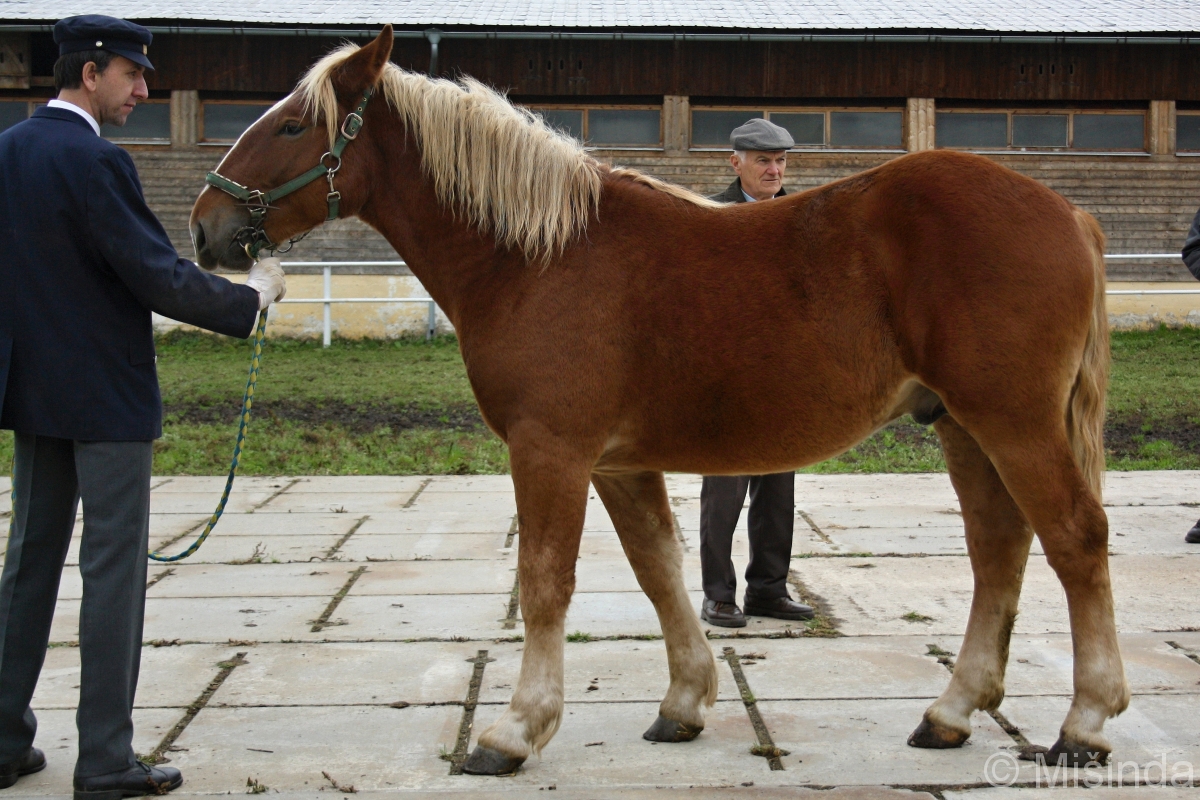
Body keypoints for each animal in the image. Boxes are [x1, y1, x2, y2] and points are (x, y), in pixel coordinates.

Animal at [187, 26, 1123, 777]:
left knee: (1075, 538)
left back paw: (1084, 725)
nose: (203, 228)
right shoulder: (617, 464)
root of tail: (1070, 212)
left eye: (294, 124)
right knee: (999, 549)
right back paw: (951, 714)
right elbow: (660, 571)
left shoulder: (551, 450)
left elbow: (545, 582)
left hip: (1013, 422)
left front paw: (514, 731)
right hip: (963, 425)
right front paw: (684, 704)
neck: (538, 256)